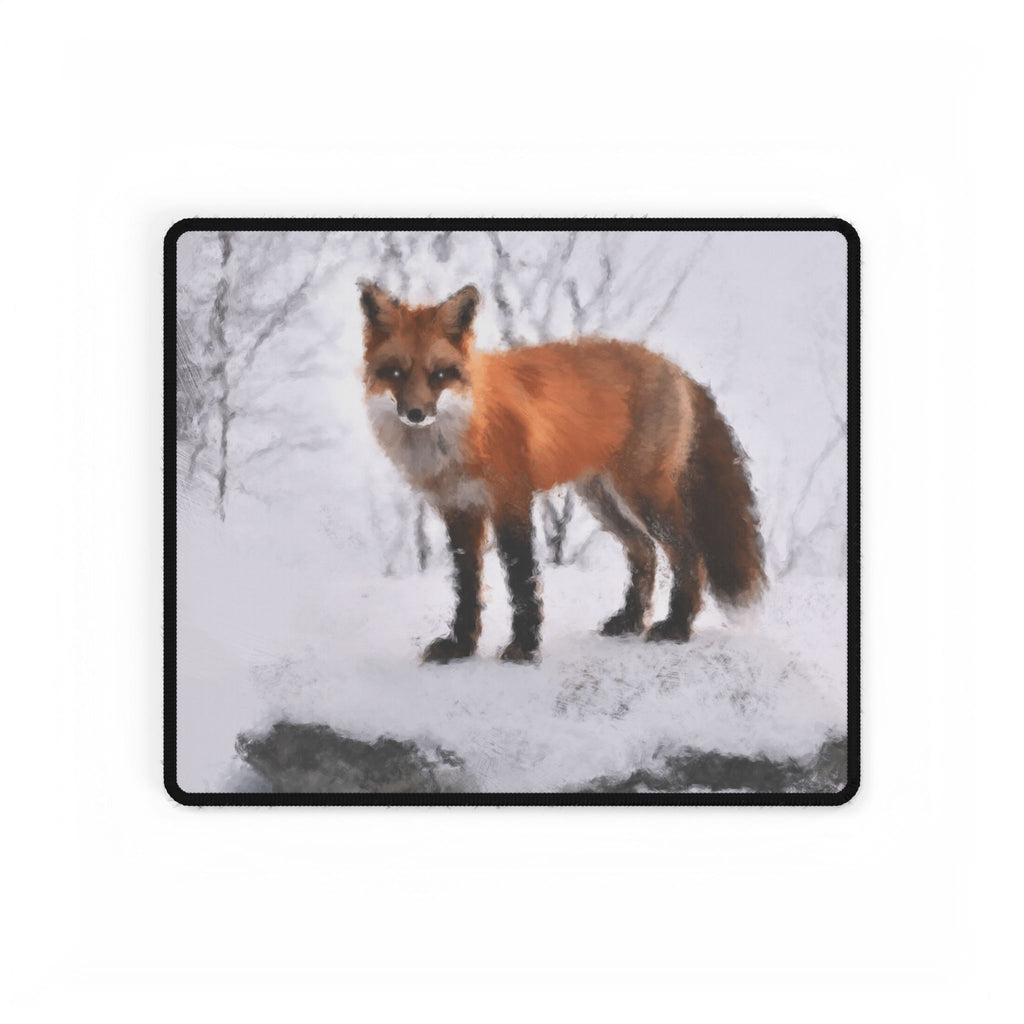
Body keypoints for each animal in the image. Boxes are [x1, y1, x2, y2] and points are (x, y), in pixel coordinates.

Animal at [360, 280, 766, 664]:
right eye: (395, 372)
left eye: (440, 374)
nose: (415, 414)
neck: (461, 433)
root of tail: (674, 367)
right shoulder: (459, 510)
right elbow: (467, 586)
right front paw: (461, 646)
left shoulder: (511, 499)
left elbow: (521, 580)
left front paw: (524, 647)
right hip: (603, 500)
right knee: (645, 553)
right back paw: (631, 620)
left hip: (643, 495)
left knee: (688, 554)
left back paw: (677, 626)